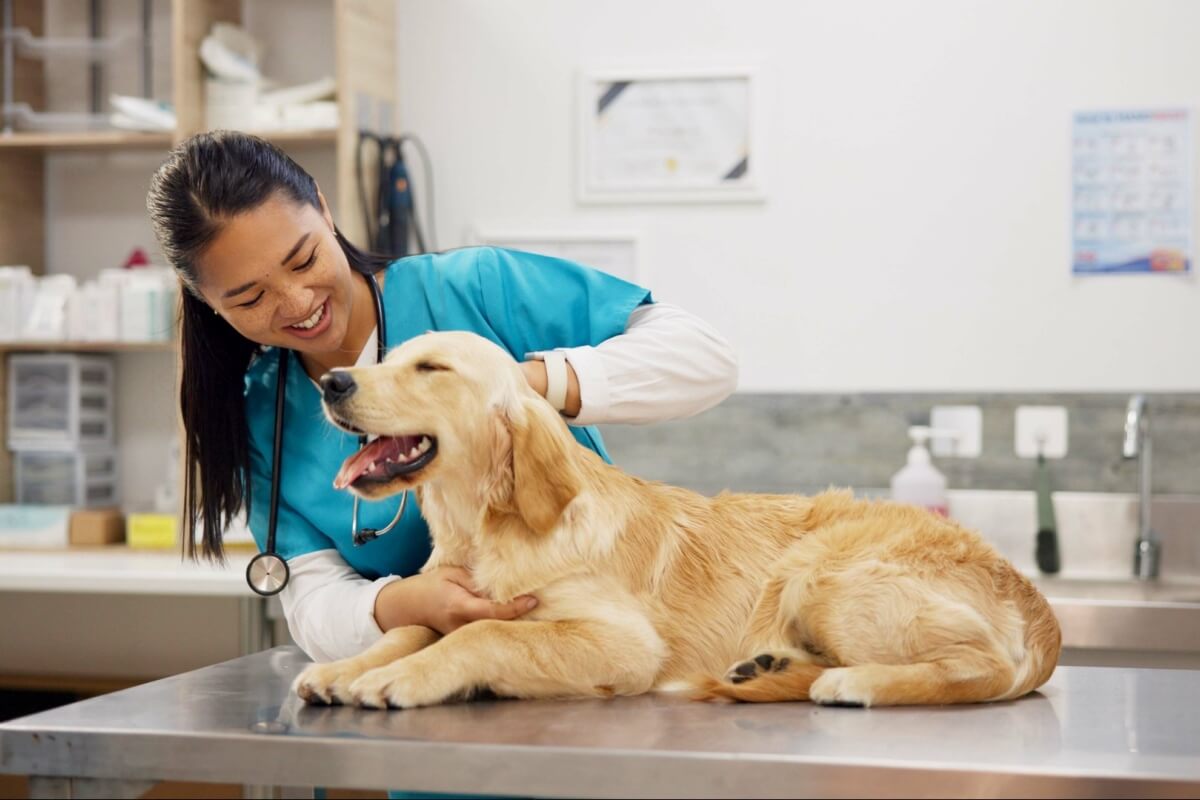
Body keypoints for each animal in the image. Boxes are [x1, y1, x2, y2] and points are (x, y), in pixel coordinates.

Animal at [292, 331, 1060, 705]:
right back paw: (769, 666)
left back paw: (853, 683)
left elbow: (482, 634)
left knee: (981, 668)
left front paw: (396, 679)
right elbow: (413, 626)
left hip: (824, 572)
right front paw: (348, 667)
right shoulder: (449, 597)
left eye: (432, 369)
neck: (485, 531)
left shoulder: (622, 644)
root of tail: (1036, 603)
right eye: (389, 358)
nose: (331, 381)